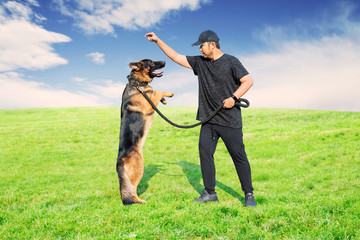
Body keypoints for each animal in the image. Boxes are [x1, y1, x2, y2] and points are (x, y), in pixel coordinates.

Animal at [116, 58, 174, 204]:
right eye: (152, 63)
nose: (165, 61)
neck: (137, 84)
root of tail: (120, 161)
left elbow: (155, 92)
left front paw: (164, 100)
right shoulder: (149, 104)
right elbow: (158, 91)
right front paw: (168, 94)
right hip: (139, 169)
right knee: (132, 189)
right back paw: (139, 200)